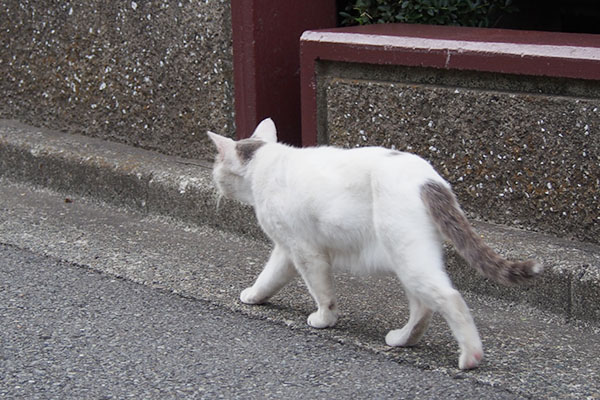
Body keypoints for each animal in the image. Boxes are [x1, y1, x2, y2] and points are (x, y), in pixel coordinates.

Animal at [209, 117, 540, 370]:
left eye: (216, 165)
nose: (213, 181)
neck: (265, 166)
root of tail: (429, 179)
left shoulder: (306, 251)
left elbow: (322, 292)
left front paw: (325, 318)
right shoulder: (288, 249)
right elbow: (269, 277)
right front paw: (254, 296)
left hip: (407, 256)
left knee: (450, 298)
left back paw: (470, 357)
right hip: (408, 257)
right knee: (423, 307)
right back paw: (404, 339)